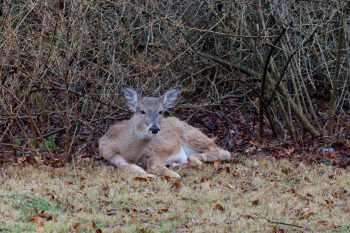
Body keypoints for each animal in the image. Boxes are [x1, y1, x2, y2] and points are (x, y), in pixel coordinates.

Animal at [98, 85, 231, 178]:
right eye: (142, 111)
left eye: (160, 111)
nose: (154, 128)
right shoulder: (112, 156)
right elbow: (129, 168)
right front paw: (149, 176)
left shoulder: (151, 153)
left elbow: (153, 166)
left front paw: (173, 175)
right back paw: (177, 165)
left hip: (191, 134)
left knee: (222, 151)